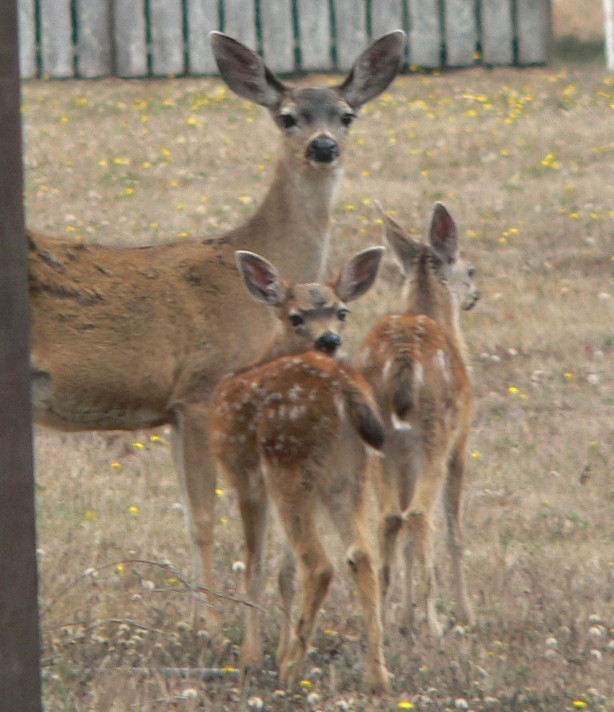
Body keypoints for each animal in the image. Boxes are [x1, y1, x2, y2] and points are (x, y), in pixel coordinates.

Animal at [28, 30, 406, 628]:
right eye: (287, 117)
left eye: (347, 115)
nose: (324, 146)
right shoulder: (200, 389)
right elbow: (204, 517)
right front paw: (206, 621)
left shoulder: (174, 408)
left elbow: (199, 514)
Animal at [210, 246, 389, 691]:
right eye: (296, 316)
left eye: (341, 311)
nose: (330, 340)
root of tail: (346, 388)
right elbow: (284, 572)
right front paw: (277, 649)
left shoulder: (245, 479)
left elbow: (255, 566)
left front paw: (253, 658)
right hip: (347, 478)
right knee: (362, 557)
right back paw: (377, 676)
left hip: (288, 465)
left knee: (321, 566)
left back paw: (292, 669)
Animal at [359, 202, 480, 639]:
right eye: (470, 269)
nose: (475, 295)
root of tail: (404, 360)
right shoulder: (461, 441)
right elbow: (456, 529)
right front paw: (464, 613)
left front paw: (406, 614)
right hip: (434, 435)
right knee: (419, 515)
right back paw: (436, 623)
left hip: (380, 441)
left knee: (391, 517)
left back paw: (382, 614)